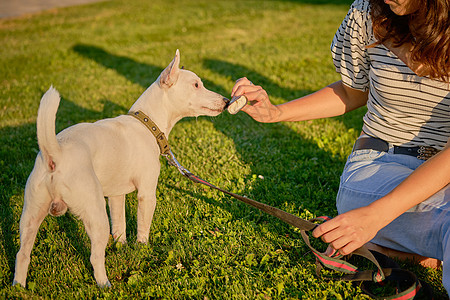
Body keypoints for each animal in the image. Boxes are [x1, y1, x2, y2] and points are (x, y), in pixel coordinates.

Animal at [14, 50, 229, 288]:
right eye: (196, 85)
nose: (227, 101)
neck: (147, 123)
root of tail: (54, 155)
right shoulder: (147, 194)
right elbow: (143, 229)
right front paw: (142, 249)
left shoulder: (116, 196)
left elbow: (119, 226)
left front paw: (123, 247)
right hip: (95, 215)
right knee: (95, 256)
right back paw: (104, 285)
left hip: (31, 215)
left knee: (22, 254)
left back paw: (19, 287)